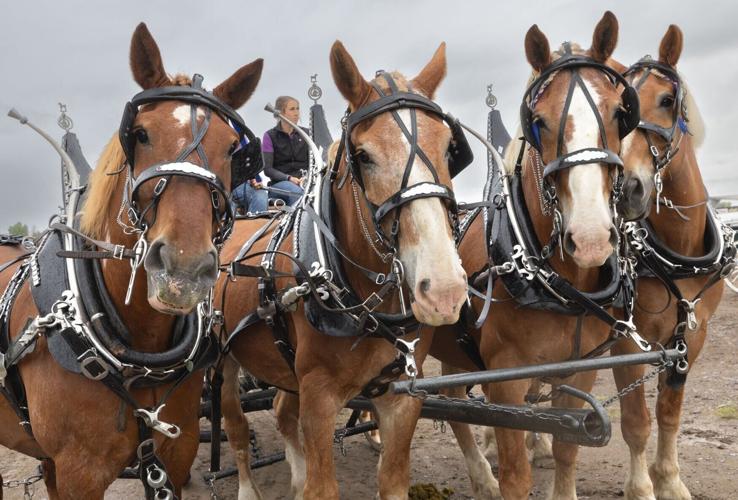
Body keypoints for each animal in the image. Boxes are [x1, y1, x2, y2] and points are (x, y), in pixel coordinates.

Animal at [216, 41, 469, 499]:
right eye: (363, 156)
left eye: (449, 149)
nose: (443, 292)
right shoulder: (318, 397)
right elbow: (322, 487)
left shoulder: (401, 398)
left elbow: (392, 480)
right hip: (223, 363)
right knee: (237, 427)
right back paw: (246, 486)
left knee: (281, 410)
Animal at [427, 11, 645, 499]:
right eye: (539, 122)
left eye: (619, 113)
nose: (590, 238)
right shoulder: (505, 381)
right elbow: (515, 474)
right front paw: (505, 472)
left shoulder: (579, 369)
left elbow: (567, 446)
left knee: (451, 402)